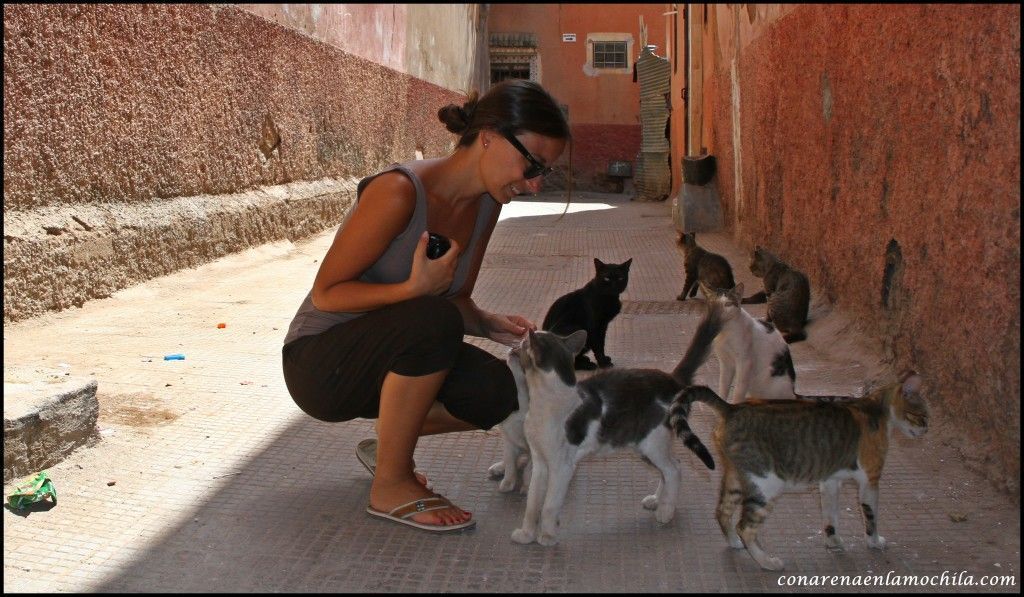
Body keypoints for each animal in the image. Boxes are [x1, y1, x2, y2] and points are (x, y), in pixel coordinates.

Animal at [501, 327, 712, 544]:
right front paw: (526, 534)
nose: (515, 344)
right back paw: (656, 500)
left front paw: (547, 536)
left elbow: (549, 505)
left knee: (674, 469)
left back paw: (665, 511)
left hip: (652, 444)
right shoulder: (540, 463)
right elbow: (533, 503)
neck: (542, 403)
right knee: (670, 467)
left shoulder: (562, 467)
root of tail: (672, 380)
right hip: (643, 446)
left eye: (523, 344)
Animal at [667, 370, 933, 573]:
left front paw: (833, 542)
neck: (876, 409)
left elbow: (830, 517)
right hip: (767, 485)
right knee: (745, 527)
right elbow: (871, 518)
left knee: (723, 511)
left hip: (736, 479)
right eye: (922, 416)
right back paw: (768, 562)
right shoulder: (871, 480)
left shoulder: (830, 482)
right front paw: (875, 542)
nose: (926, 431)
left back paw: (734, 543)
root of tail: (731, 408)